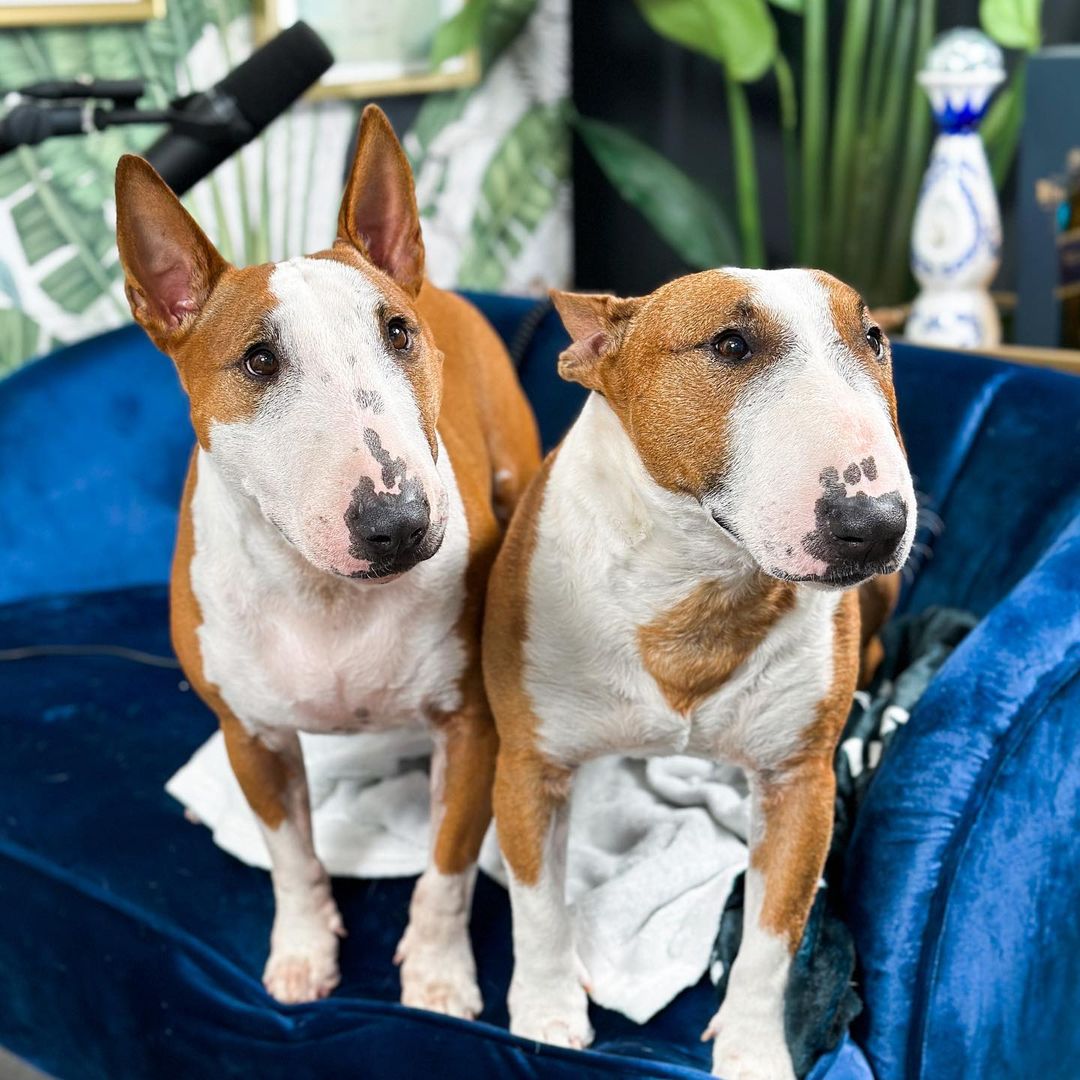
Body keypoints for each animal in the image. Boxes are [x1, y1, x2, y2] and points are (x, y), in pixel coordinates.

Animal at [114, 105, 540, 1013]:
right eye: (259, 360)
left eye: (395, 333)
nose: (400, 524)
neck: (324, 592)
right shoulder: (252, 737)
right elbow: (291, 858)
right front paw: (305, 950)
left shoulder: (472, 727)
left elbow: (446, 870)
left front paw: (439, 974)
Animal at [483, 268, 915, 1079]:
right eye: (731, 344)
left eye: (873, 338)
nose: (876, 525)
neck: (703, 585)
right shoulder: (528, 764)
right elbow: (537, 905)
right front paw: (547, 1013)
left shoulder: (798, 785)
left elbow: (772, 942)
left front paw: (753, 1052)